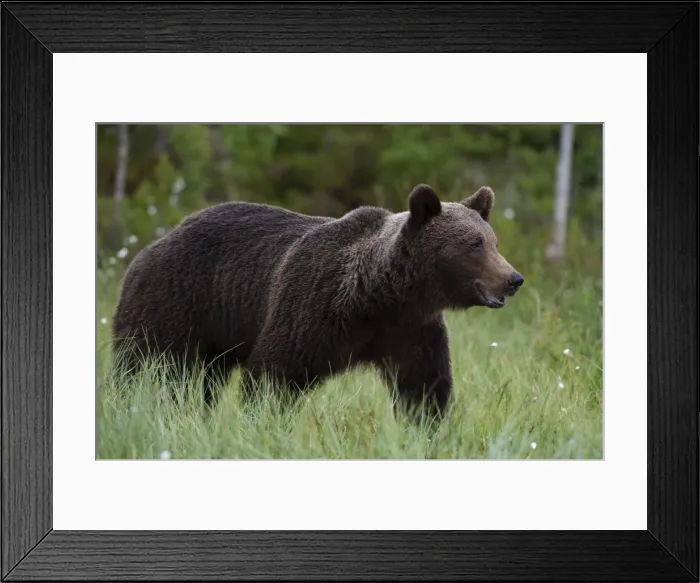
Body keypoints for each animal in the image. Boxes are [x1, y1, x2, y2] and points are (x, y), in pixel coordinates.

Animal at [111, 184, 524, 419]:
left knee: (203, 381)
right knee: (140, 364)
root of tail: (158, 240)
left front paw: (426, 425)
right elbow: (273, 376)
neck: (380, 297)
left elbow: (423, 385)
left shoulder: (410, 330)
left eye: (493, 241)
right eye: (474, 244)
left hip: (217, 333)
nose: (513, 279)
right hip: (174, 302)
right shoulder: (313, 311)